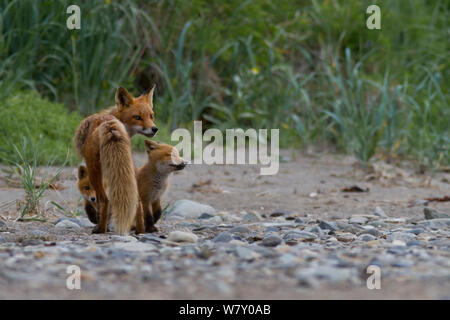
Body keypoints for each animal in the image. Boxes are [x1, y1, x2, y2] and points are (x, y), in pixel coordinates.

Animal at [74, 86, 158, 234]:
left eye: (151, 116)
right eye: (138, 117)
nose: (155, 129)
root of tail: (109, 124)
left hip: (95, 170)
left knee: (105, 200)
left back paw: (100, 229)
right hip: (129, 167)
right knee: (138, 202)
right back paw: (140, 231)